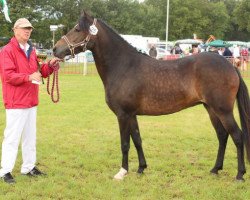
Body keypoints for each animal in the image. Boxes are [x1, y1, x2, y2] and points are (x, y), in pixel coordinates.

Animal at [53, 12, 250, 181]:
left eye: (77, 29)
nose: (55, 49)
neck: (123, 66)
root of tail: (230, 66)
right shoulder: (131, 115)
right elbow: (137, 140)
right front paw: (141, 168)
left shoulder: (123, 115)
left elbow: (125, 143)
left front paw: (122, 172)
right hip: (211, 109)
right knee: (222, 136)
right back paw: (215, 169)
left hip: (223, 111)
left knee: (237, 136)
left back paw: (240, 174)